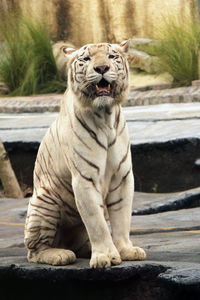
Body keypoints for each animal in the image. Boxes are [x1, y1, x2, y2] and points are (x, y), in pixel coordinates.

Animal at [24, 39, 147, 268]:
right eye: (87, 59)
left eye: (111, 57)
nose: (102, 68)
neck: (105, 116)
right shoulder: (84, 178)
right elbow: (96, 222)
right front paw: (105, 256)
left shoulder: (122, 177)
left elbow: (121, 217)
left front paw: (126, 250)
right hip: (43, 201)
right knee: (35, 251)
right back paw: (60, 254)